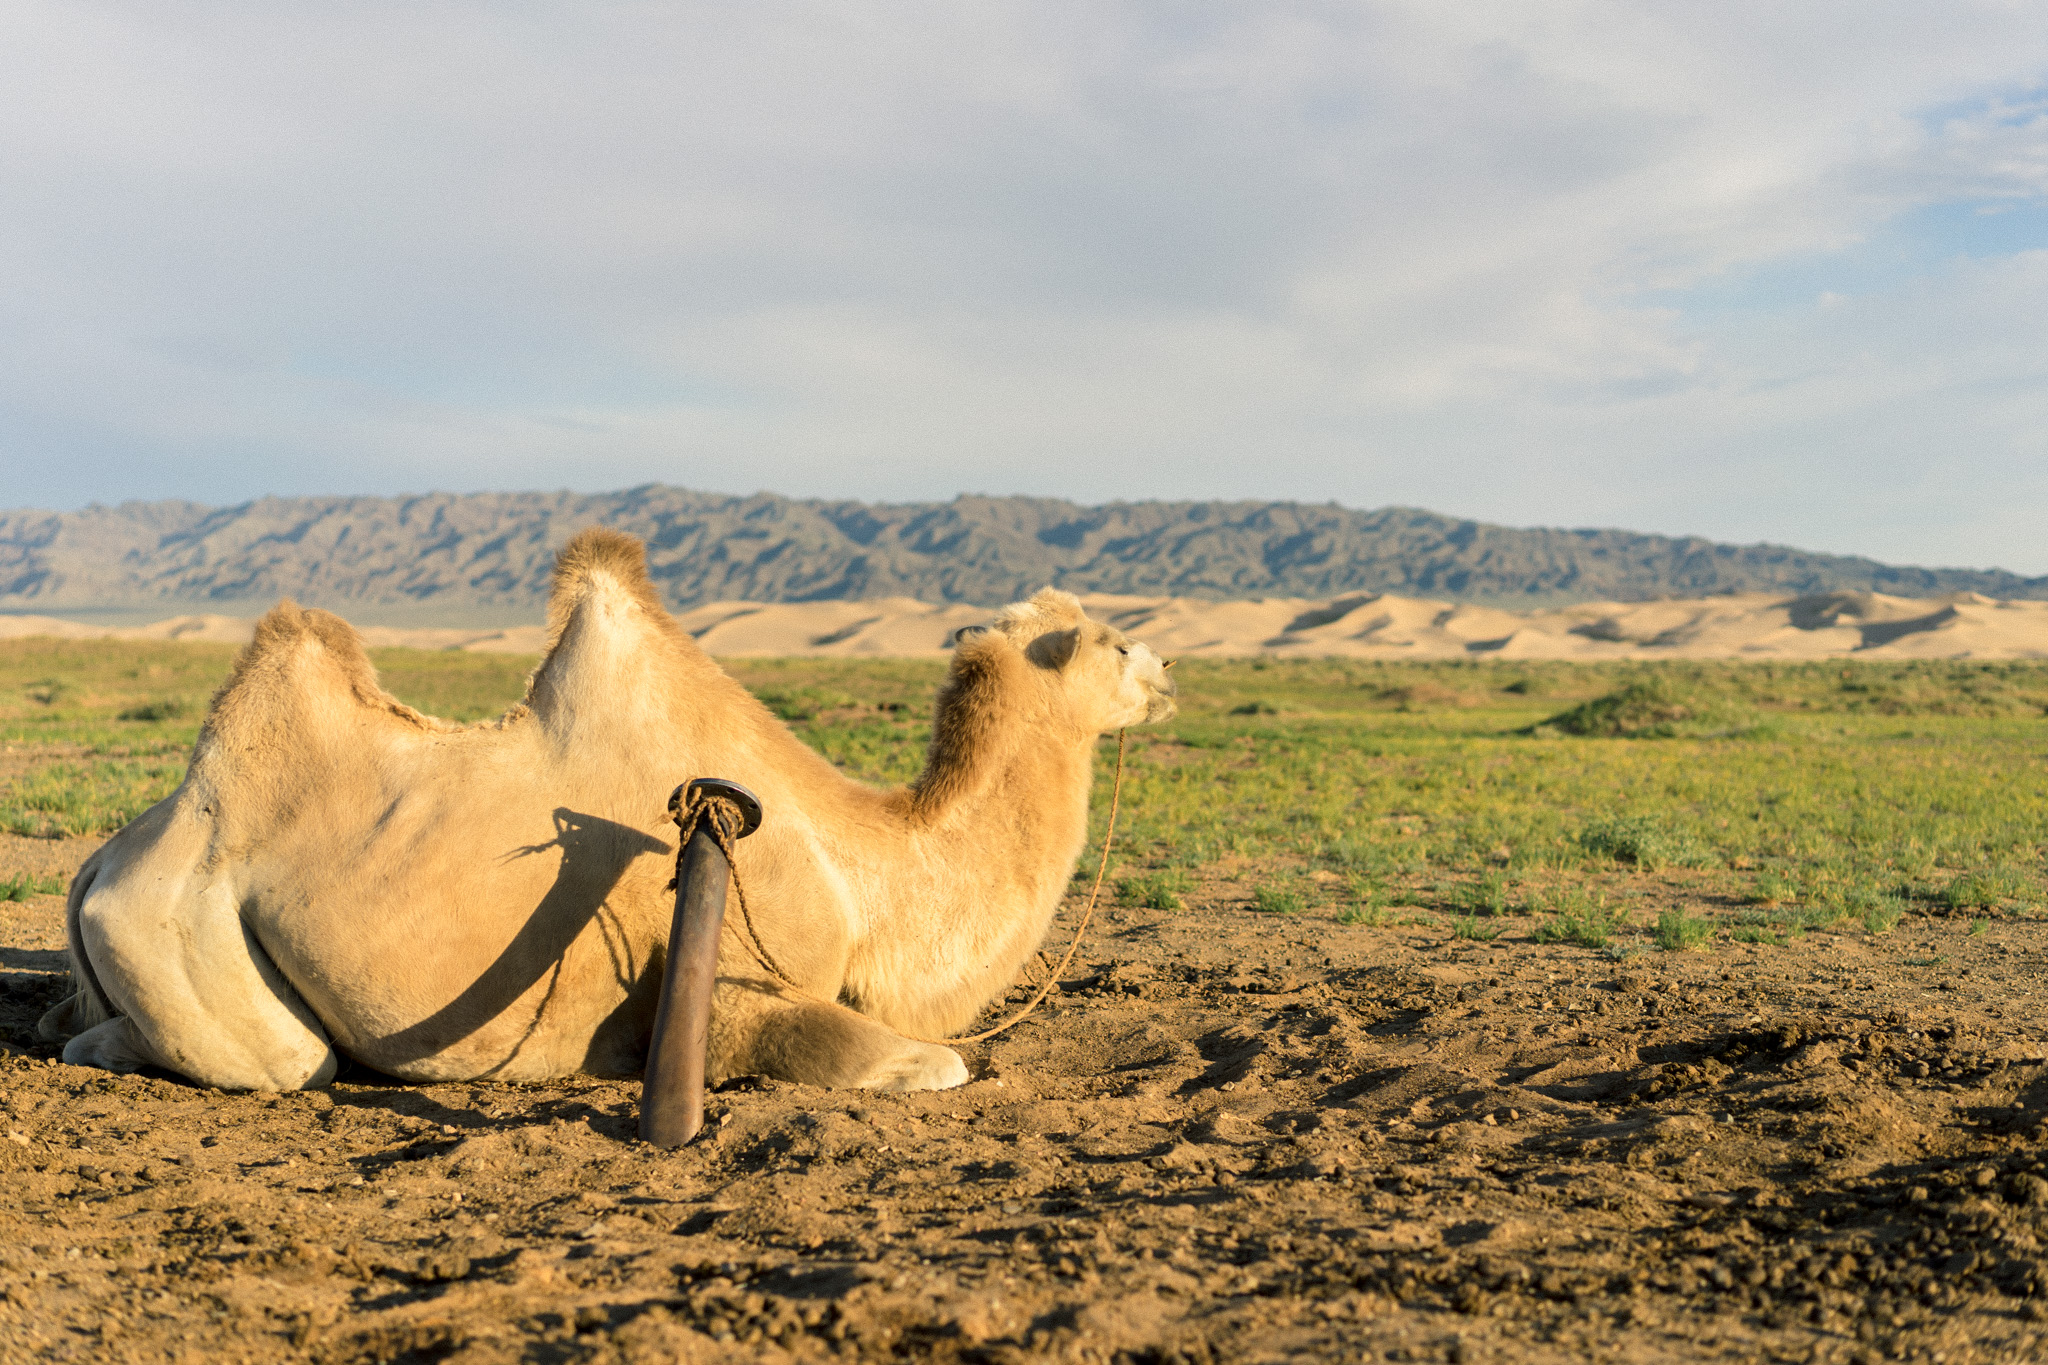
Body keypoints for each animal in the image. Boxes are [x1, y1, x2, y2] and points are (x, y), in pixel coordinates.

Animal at [39, 527, 1179, 1096]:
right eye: (1114, 641)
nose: (1168, 671)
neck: (869, 877)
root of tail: (100, 860)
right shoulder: (730, 985)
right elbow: (921, 1060)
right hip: (177, 925)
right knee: (283, 1059)